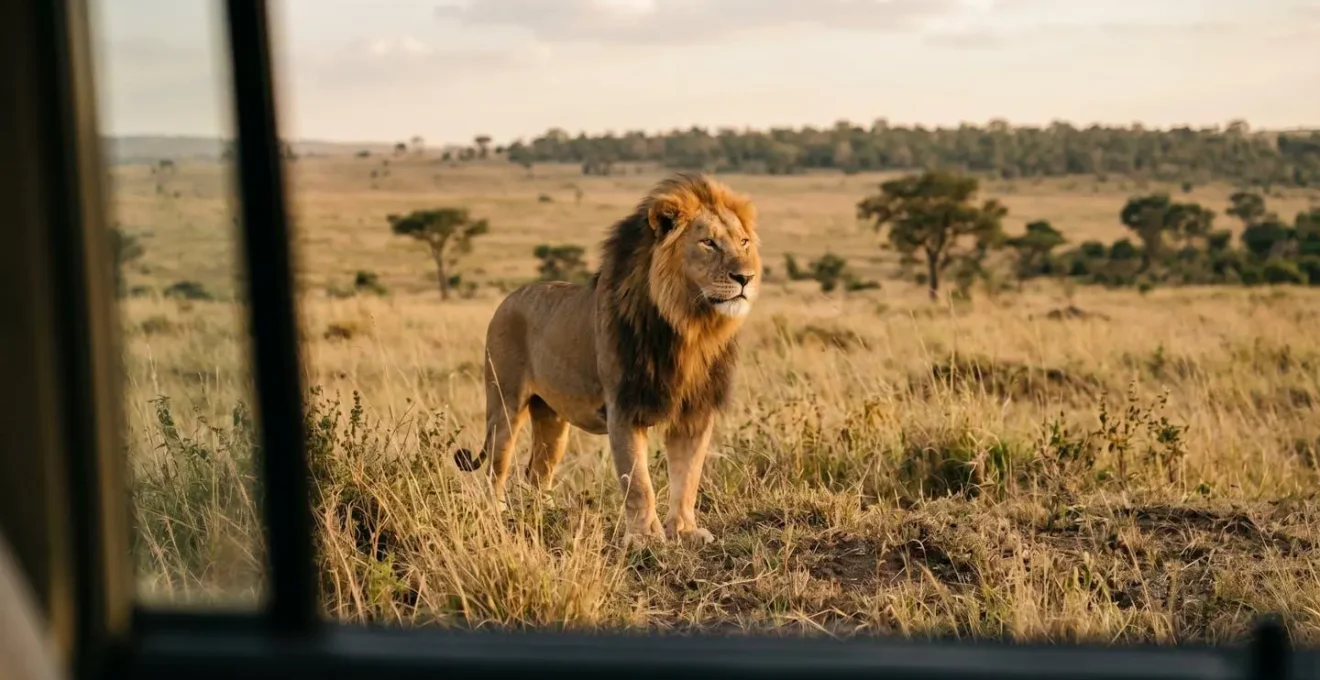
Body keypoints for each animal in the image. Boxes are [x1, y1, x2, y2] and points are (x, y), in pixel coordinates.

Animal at [453, 173, 761, 543]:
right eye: (708, 243)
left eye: (744, 242)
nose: (746, 277)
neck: (689, 327)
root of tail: (508, 299)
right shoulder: (624, 407)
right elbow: (638, 481)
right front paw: (645, 538)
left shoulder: (695, 411)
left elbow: (688, 476)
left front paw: (684, 531)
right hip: (504, 405)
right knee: (495, 470)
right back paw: (498, 519)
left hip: (552, 419)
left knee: (537, 472)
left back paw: (548, 516)